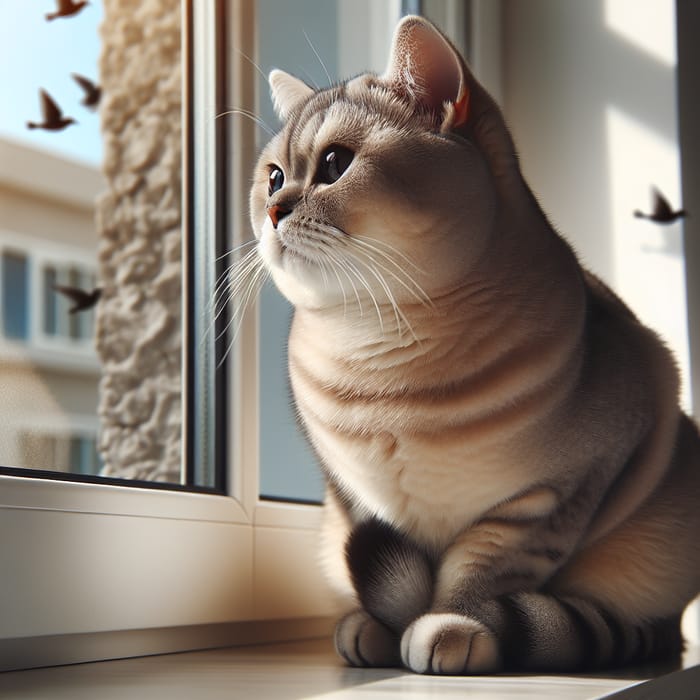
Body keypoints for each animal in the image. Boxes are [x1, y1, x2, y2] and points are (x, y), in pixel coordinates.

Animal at [242, 15, 700, 672]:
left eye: (334, 163)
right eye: (274, 177)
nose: (274, 211)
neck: (380, 351)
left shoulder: (542, 503)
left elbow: (473, 577)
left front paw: (451, 627)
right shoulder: (354, 499)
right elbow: (386, 571)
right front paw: (379, 629)